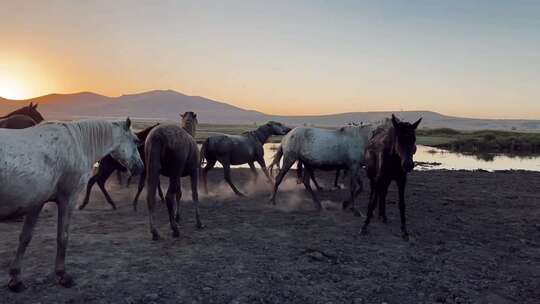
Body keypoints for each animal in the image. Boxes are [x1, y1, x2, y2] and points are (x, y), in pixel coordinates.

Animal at [0, 117, 143, 290]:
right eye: (136, 141)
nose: (140, 167)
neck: (77, 145)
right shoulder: (68, 200)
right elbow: (63, 237)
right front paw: (62, 275)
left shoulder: (36, 203)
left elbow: (25, 238)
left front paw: (15, 278)